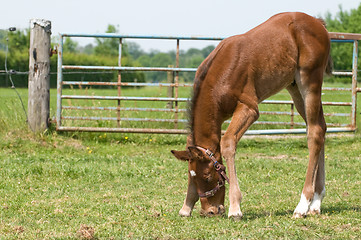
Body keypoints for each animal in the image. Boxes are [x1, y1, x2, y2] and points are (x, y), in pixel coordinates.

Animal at [170, 11, 330, 219]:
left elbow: (228, 142)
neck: (218, 76)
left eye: (208, 175)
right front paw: (186, 207)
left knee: (315, 132)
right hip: (294, 88)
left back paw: (303, 205)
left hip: (310, 82)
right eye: (192, 176)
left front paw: (235, 208)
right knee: (320, 128)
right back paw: (316, 203)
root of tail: (318, 23)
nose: (210, 211)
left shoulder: (249, 108)